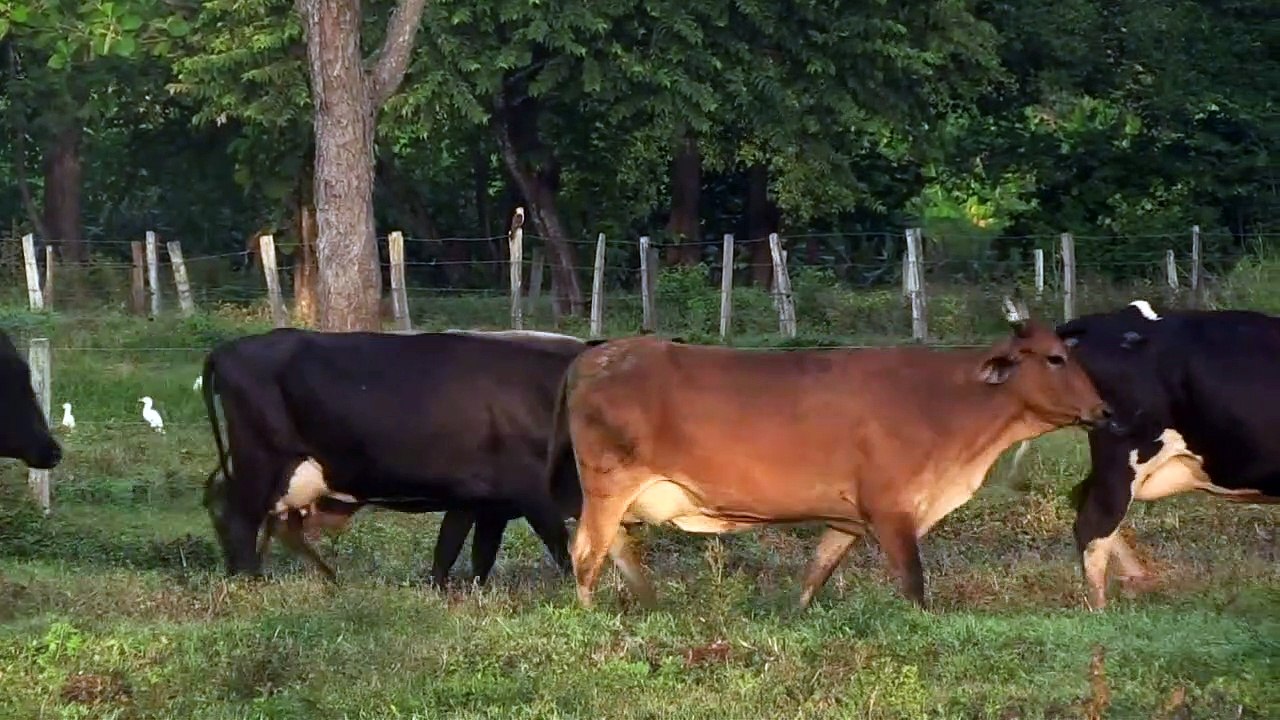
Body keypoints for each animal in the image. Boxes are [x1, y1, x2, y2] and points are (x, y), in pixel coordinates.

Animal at [201, 327, 596, 588]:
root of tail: (226, 350)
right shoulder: (533, 495)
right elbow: (560, 547)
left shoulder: (481, 501)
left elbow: (461, 551)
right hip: (258, 461)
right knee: (238, 516)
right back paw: (251, 579)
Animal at [555, 303, 1116, 610]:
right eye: (1056, 358)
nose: (1104, 410)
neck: (946, 400)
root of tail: (595, 354)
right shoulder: (892, 511)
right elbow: (915, 588)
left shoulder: (846, 519)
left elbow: (814, 577)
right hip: (608, 484)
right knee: (584, 552)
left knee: (614, 548)